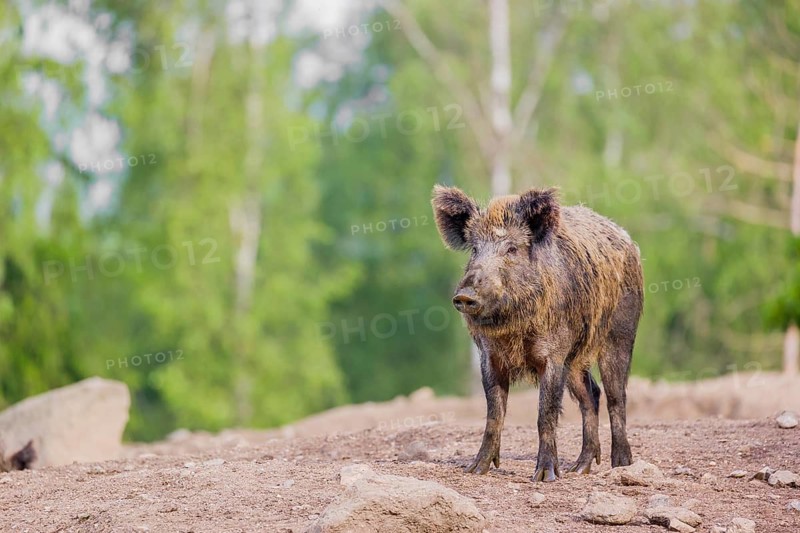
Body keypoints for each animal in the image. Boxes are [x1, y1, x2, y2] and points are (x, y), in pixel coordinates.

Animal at [431, 185, 643, 482]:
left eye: (511, 248)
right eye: (474, 249)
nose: (465, 295)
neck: (513, 327)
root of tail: (629, 241)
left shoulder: (553, 355)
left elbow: (545, 412)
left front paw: (545, 476)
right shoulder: (489, 355)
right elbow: (493, 412)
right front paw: (475, 470)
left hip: (620, 335)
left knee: (617, 396)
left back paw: (621, 466)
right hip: (574, 360)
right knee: (592, 394)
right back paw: (579, 469)